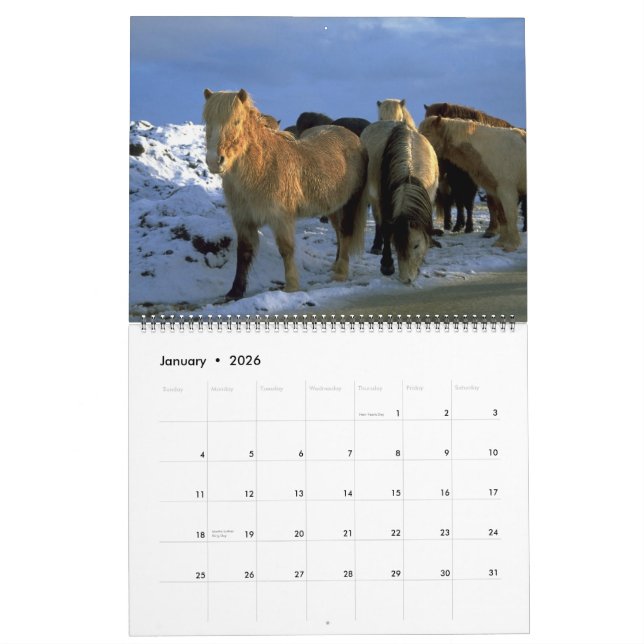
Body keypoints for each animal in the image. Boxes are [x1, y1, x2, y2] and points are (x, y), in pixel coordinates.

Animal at [203, 89, 368, 299]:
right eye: (207, 121)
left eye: (236, 121)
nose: (214, 161)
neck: (262, 167)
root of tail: (352, 136)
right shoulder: (243, 220)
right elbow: (244, 252)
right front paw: (235, 291)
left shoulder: (281, 218)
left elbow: (286, 249)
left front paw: (291, 286)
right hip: (334, 206)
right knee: (339, 232)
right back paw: (336, 265)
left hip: (351, 202)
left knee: (346, 232)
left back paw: (340, 272)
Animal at [360, 121, 439, 283]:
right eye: (396, 245)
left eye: (416, 245)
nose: (406, 279)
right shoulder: (384, 201)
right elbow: (386, 229)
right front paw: (387, 266)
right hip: (374, 199)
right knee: (378, 222)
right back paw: (376, 246)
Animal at [419, 115, 526, 251]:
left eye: (427, 134)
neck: (492, 150)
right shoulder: (496, 191)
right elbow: (502, 216)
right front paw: (501, 242)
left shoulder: (507, 190)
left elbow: (510, 216)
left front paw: (511, 245)